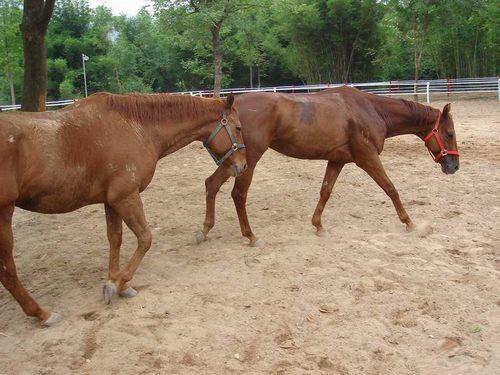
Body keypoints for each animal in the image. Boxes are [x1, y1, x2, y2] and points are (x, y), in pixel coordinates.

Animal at [0, 93, 246, 326]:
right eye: (238, 128)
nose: (242, 165)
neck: (134, 127)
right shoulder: (126, 196)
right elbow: (145, 238)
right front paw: (119, 284)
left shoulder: (111, 201)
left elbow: (115, 239)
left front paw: (114, 279)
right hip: (4, 215)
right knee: (8, 271)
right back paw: (42, 314)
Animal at [194, 87, 458, 248]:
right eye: (450, 133)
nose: (453, 165)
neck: (370, 110)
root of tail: (229, 108)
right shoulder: (367, 157)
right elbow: (390, 188)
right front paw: (409, 223)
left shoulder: (337, 160)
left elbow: (325, 191)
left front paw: (318, 226)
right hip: (249, 160)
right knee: (238, 194)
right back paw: (250, 236)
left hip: (235, 162)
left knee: (211, 184)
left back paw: (204, 230)